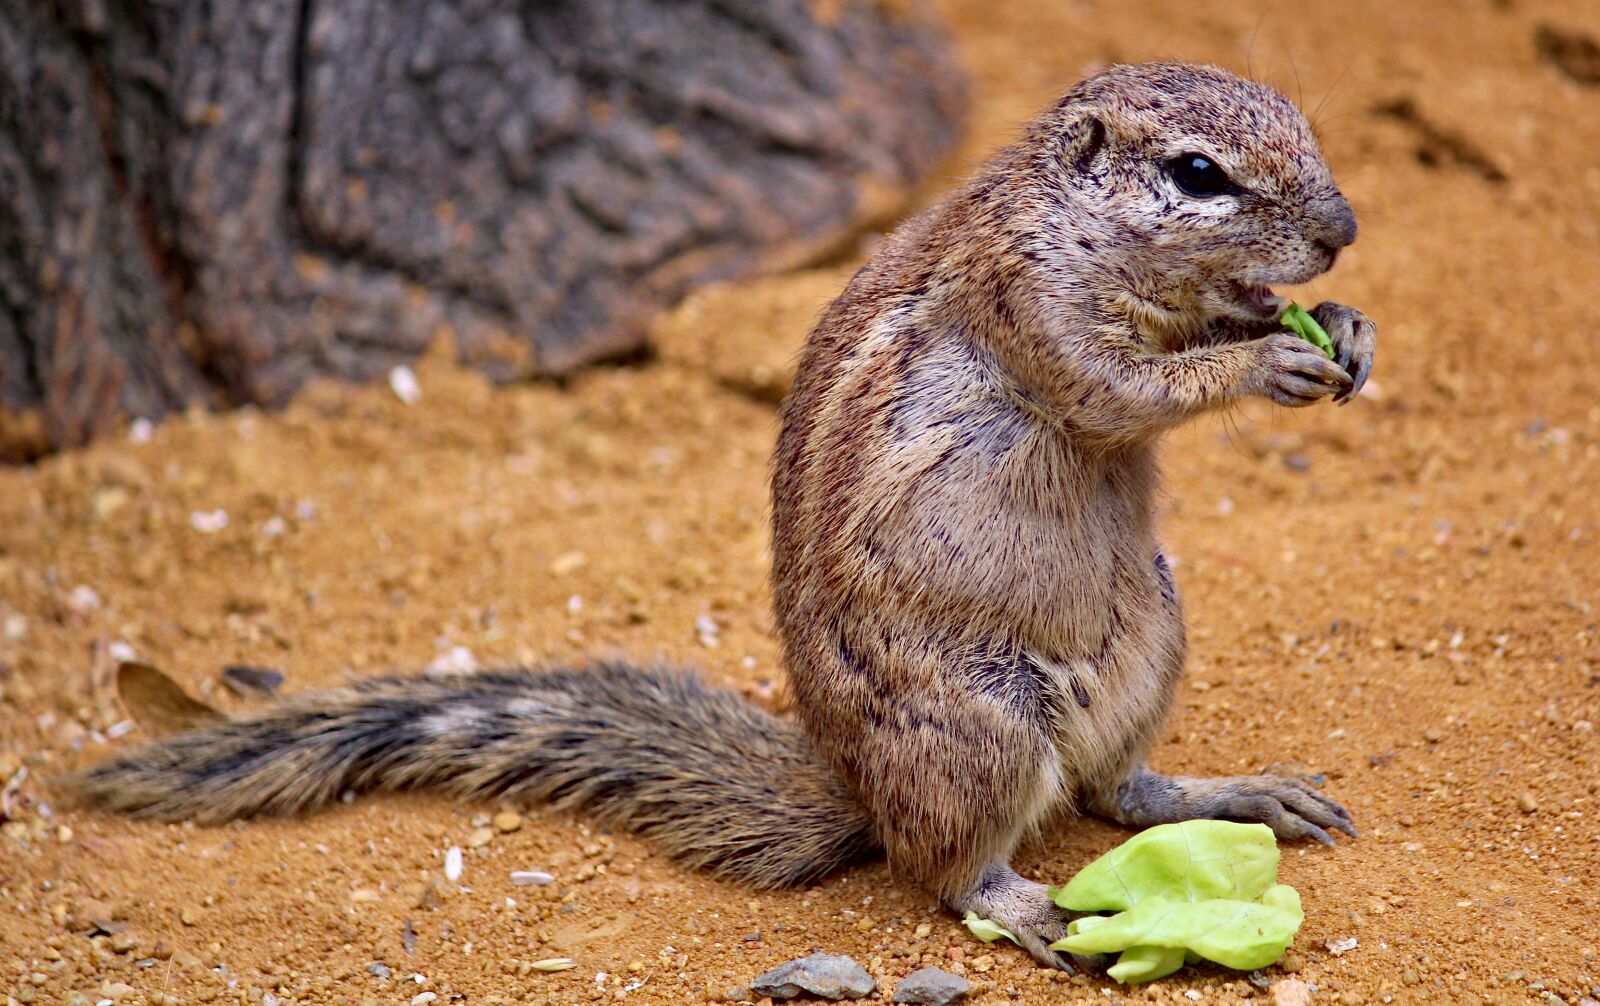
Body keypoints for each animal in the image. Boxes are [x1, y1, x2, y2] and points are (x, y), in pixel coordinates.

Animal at [73, 62, 1374, 969]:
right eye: (1198, 175)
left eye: (1301, 126)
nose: (1342, 231)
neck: (1076, 230)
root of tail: (853, 784)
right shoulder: (1033, 310)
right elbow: (1122, 390)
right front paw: (1265, 361)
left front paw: (1345, 329)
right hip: (981, 727)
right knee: (947, 865)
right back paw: (1028, 906)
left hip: (1151, 631)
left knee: (1116, 791)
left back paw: (1229, 795)